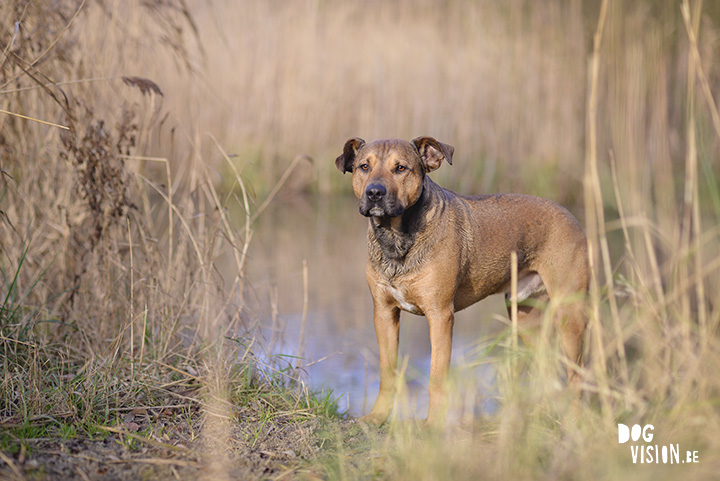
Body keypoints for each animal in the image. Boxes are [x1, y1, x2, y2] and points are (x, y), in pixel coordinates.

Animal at [334, 135, 588, 424]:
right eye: (364, 167)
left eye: (400, 168)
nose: (374, 193)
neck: (396, 238)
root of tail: (571, 216)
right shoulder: (384, 313)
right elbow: (387, 371)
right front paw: (377, 416)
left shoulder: (440, 315)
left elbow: (436, 377)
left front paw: (432, 425)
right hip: (524, 316)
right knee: (547, 366)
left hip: (570, 314)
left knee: (577, 373)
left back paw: (574, 421)